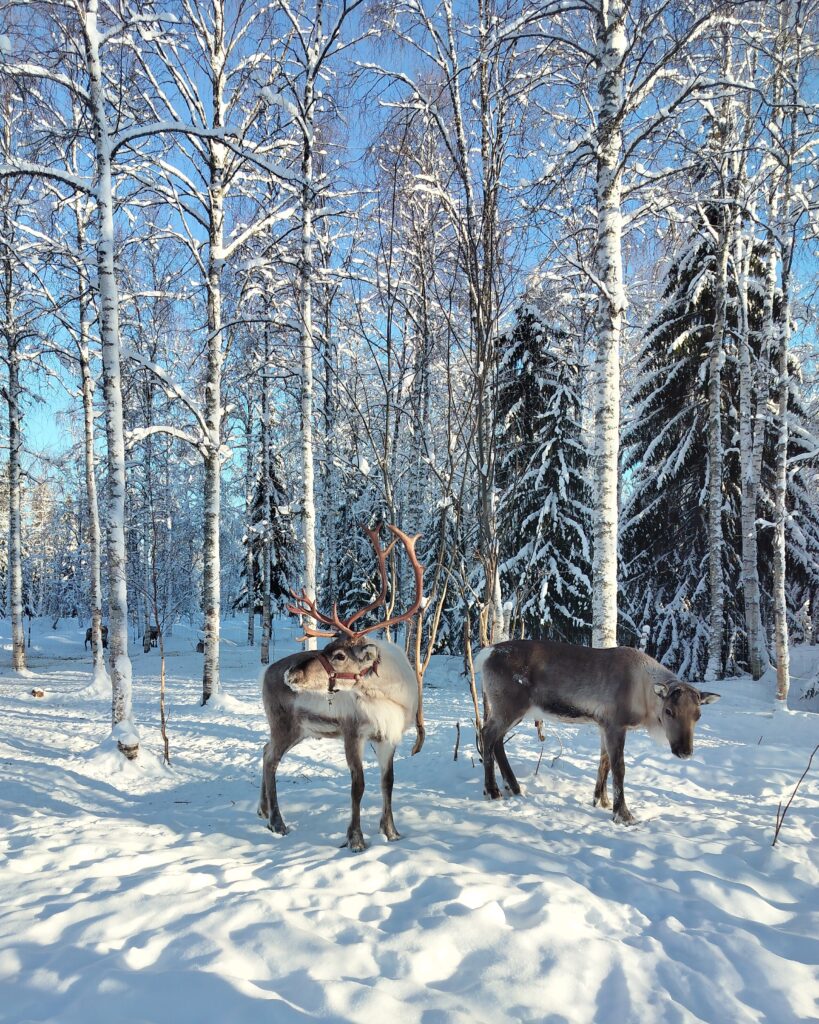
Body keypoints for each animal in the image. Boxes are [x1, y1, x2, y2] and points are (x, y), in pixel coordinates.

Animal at [258, 525, 424, 852]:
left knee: (264, 750)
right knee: (270, 760)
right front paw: (355, 838)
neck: (387, 695)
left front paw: (391, 831)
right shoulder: (352, 732)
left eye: (339, 655)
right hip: (284, 724)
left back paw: (262, 810)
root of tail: (266, 671)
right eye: (326, 647)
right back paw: (277, 822)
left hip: (301, 730)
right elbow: (357, 784)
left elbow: (388, 782)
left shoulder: (388, 737)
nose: (290, 675)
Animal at [475, 640, 720, 825]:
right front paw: (623, 814)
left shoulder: (603, 725)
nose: (685, 751)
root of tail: (485, 655)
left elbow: (604, 764)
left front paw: (600, 801)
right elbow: (619, 768)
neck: (644, 698)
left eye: (698, 715)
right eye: (669, 711)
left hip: (512, 711)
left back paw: (514, 788)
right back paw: (492, 790)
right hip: (509, 707)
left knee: (497, 741)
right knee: (487, 734)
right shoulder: (615, 724)